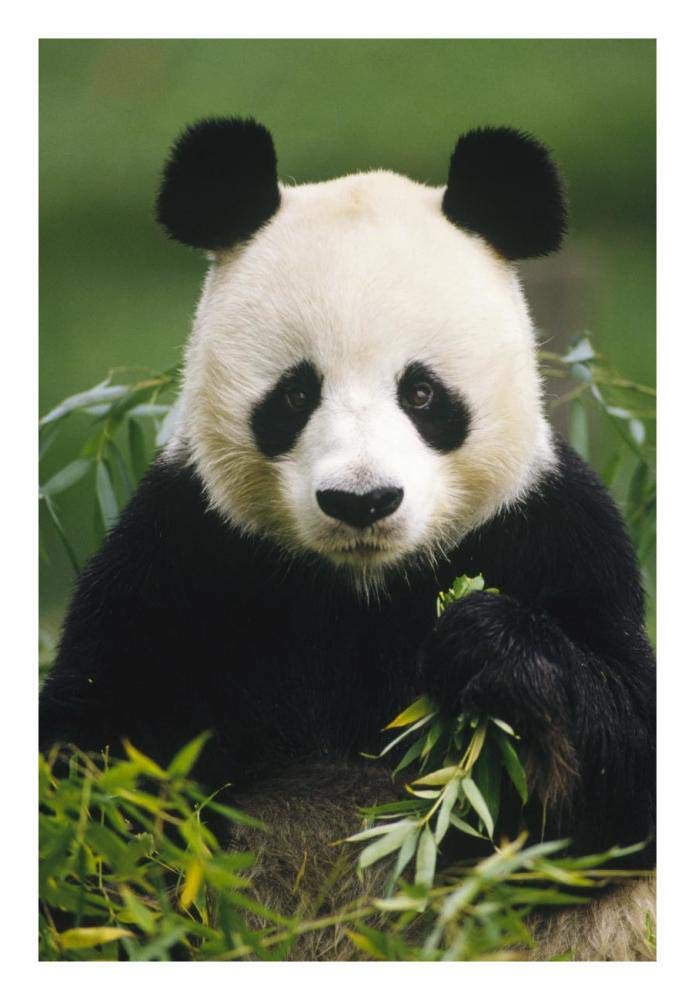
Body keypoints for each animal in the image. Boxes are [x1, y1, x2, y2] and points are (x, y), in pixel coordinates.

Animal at [39, 117, 656, 961]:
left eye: (421, 393)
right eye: (295, 394)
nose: (361, 501)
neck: (362, 586)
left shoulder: (549, 530)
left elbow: (623, 779)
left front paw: (490, 648)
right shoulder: (182, 555)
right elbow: (98, 768)